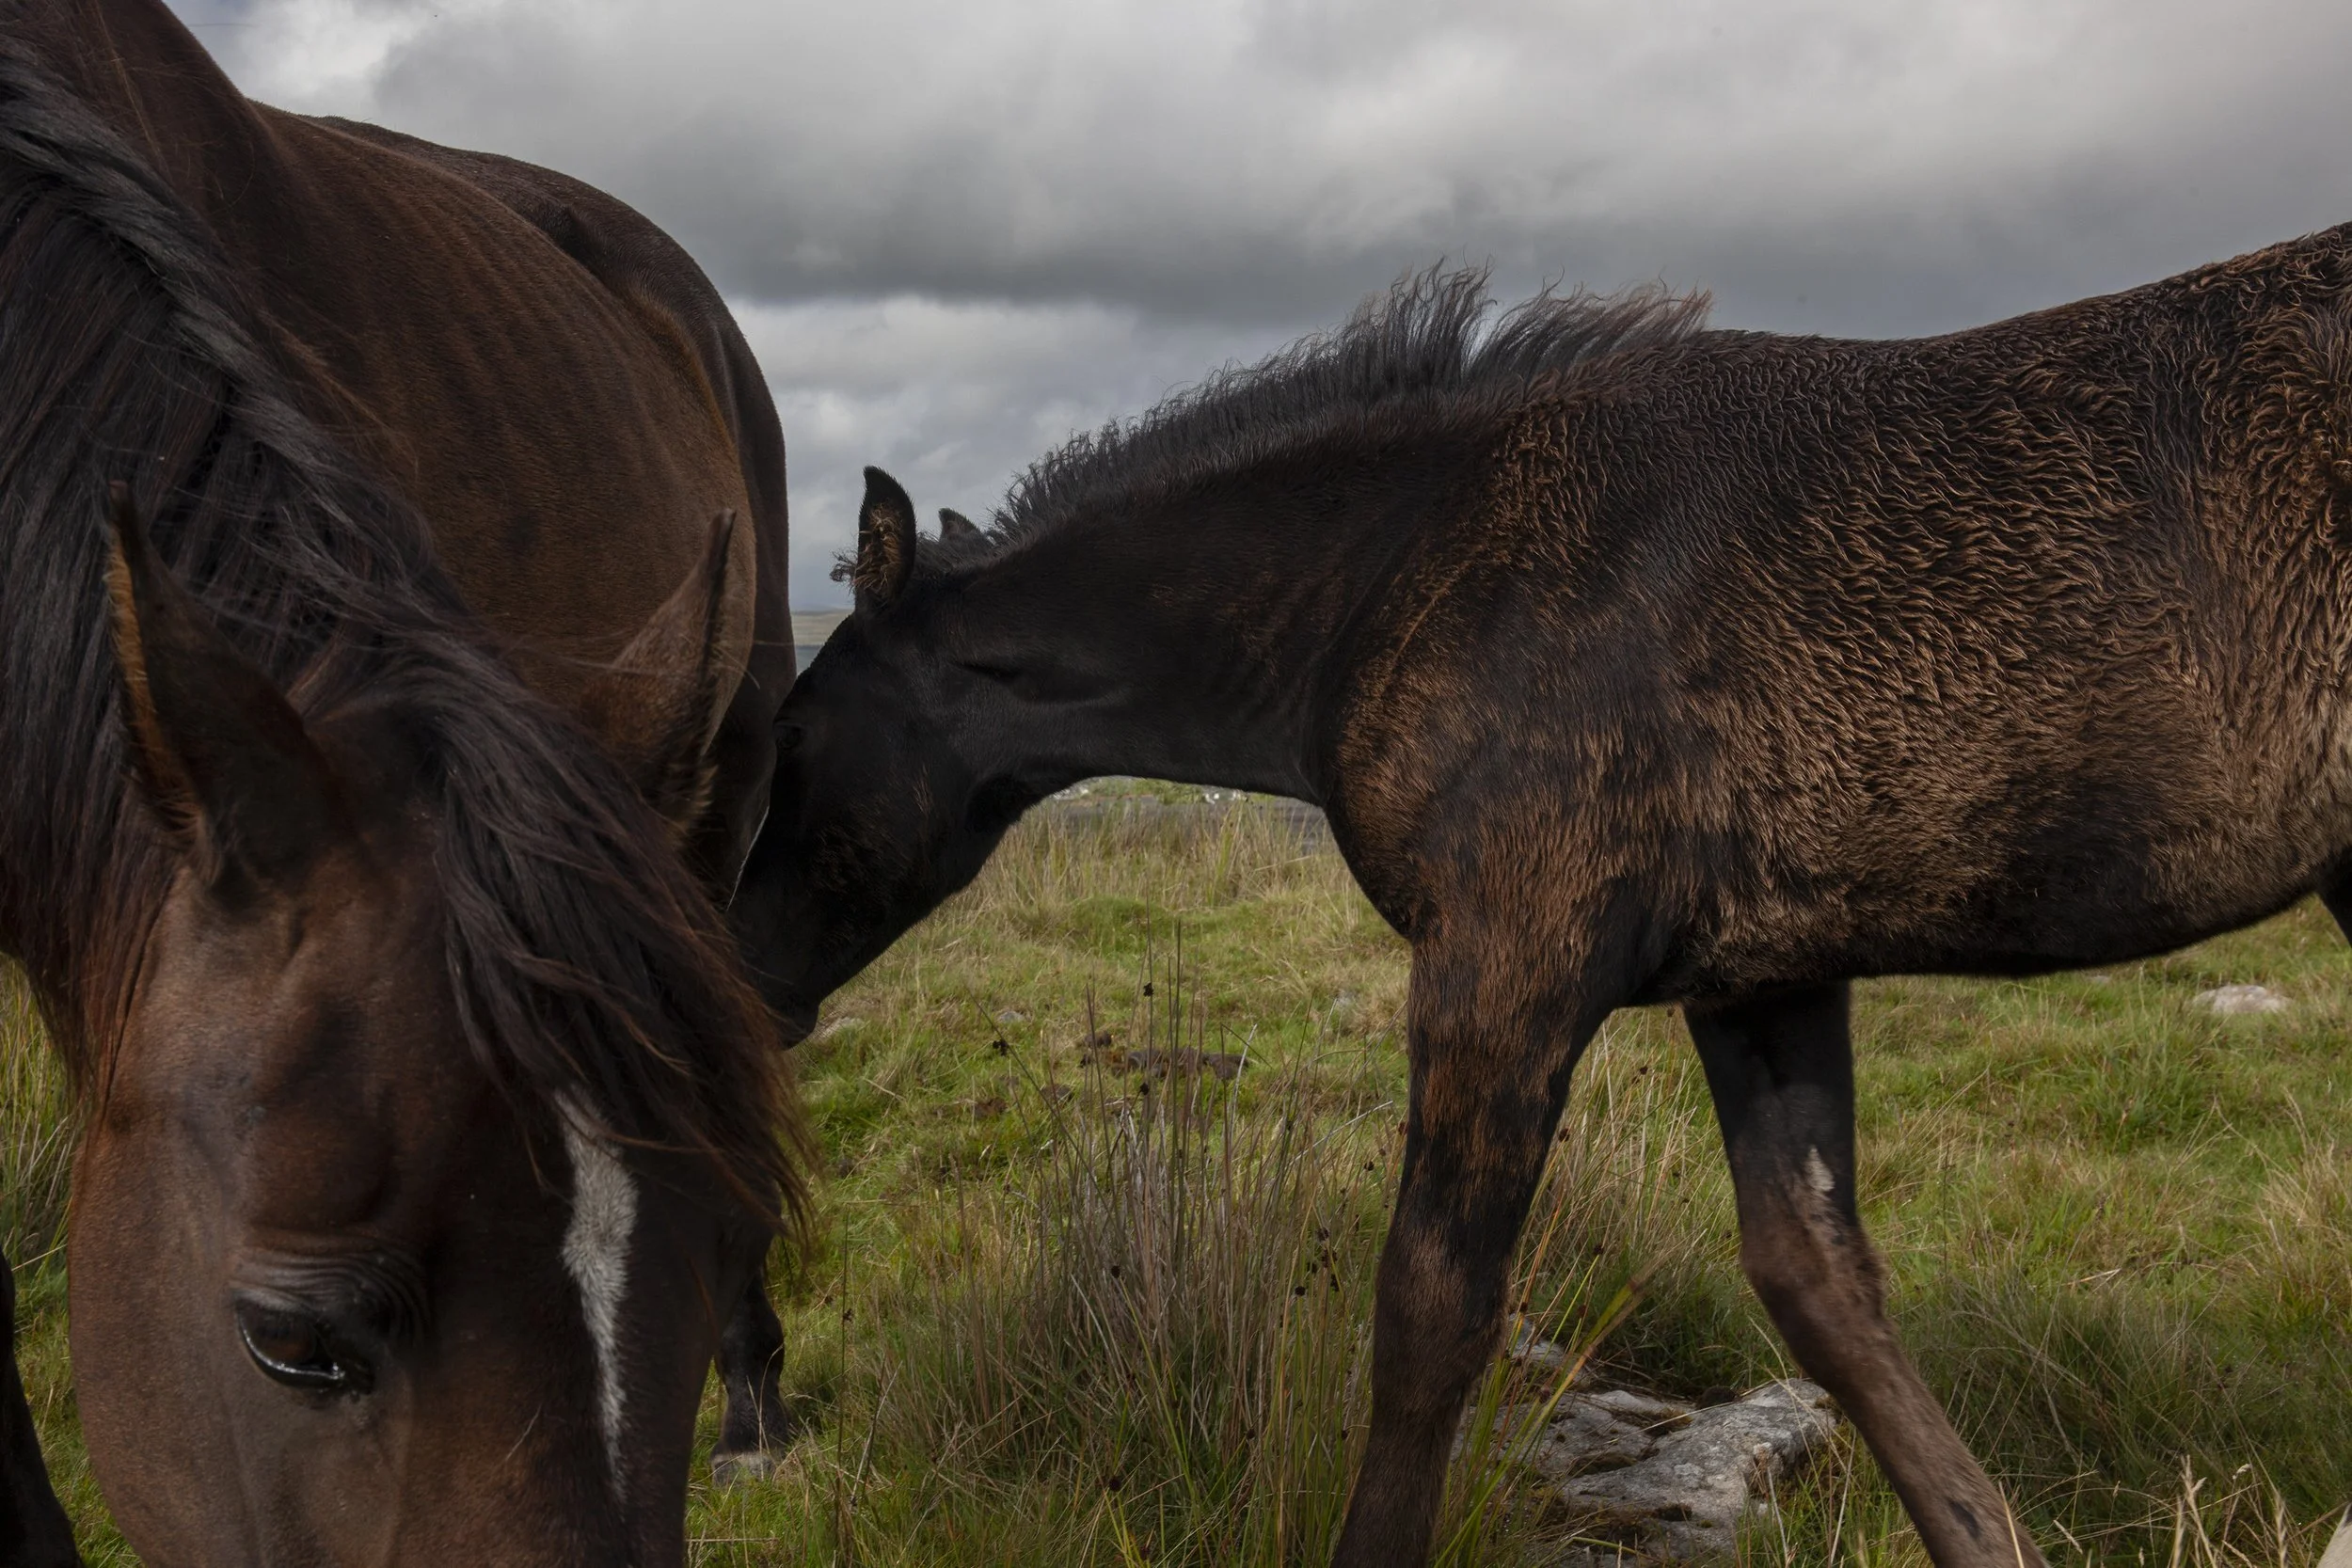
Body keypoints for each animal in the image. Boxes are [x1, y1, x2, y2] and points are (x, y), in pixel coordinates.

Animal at [742, 239, 2352, 1566]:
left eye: (794, 728)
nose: (745, 974)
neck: (1404, 569)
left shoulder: (1508, 949)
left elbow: (1432, 1308)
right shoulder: (1759, 972)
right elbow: (1817, 1279)